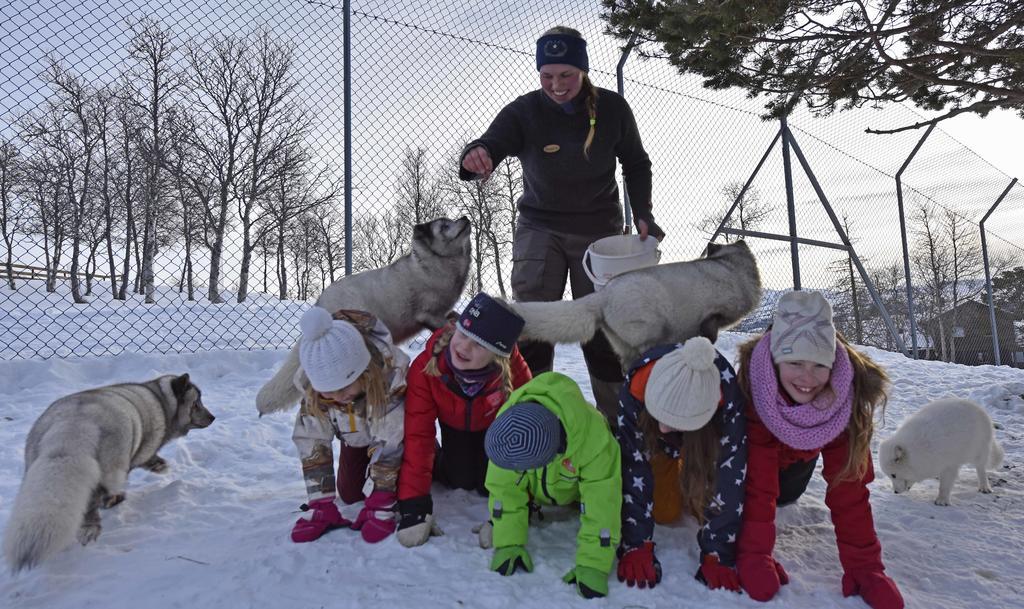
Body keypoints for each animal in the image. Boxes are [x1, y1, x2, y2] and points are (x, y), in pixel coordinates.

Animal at [2, 372, 212, 573]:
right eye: (196, 403)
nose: (213, 417)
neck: (162, 401)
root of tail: (74, 423)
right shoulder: (143, 449)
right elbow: (146, 459)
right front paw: (159, 465)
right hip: (113, 464)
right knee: (97, 496)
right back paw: (96, 521)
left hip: (33, 463)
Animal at [260, 216, 475, 417]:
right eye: (444, 226)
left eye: (451, 220)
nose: (465, 217)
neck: (435, 265)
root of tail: (319, 305)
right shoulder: (429, 314)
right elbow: (447, 325)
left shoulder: (443, 312)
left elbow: (455, 317)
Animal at [512, 241, 761, 366]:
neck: (731, 266)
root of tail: (603, 296)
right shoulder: (715, 314)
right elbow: (710, 331)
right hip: (652, 330)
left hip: (623, 346)